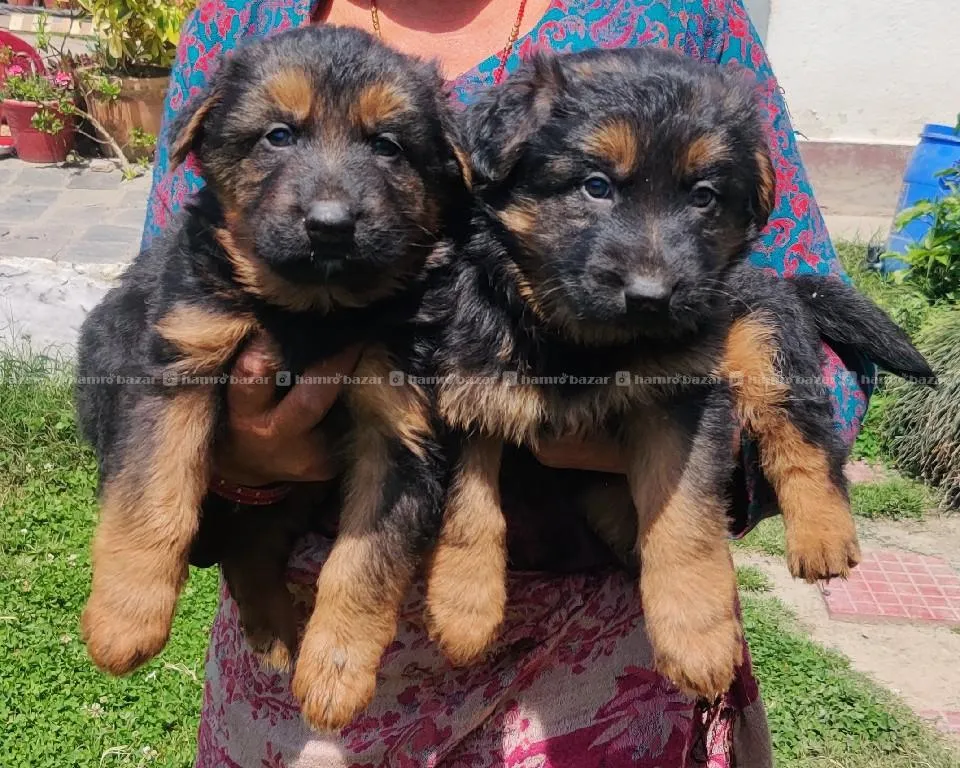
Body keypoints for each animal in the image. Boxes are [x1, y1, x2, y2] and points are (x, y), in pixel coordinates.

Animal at [74, 25, 467, 731]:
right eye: (278, 135)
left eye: (387, 145)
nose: (331, 226)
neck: (312, 312)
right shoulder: (178, 363)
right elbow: (153, 500)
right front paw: (125, 620)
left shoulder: (399, 425)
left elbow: (365, 559)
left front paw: (337, 670)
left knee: (250, 548)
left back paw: (278, 635)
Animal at [417, 48, 935, 699]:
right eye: (596, 186)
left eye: (704, 197)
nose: (651, 298)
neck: (583, 344)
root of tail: (782, 284)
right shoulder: (465, 389)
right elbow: (469, 510)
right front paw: (464, 609)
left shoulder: (683, 402)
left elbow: (683, 518)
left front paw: (696, 634)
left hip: (760, 339)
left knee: (804, 436)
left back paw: (823, 535)